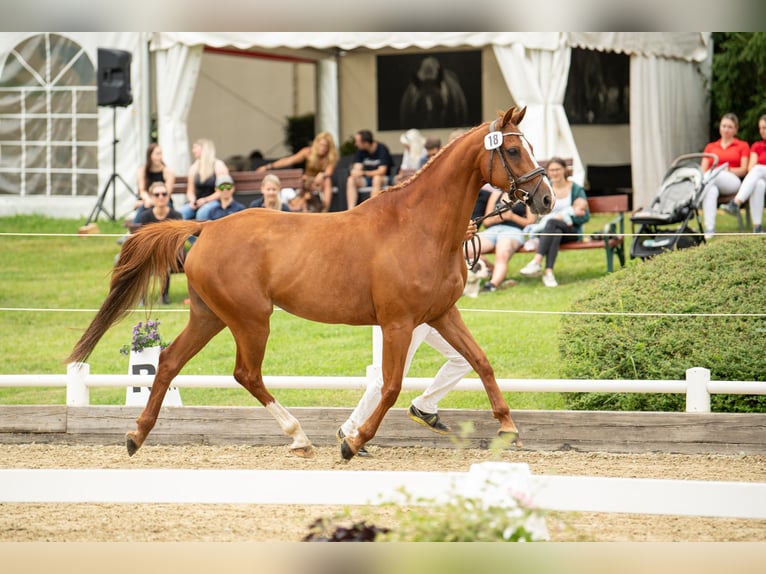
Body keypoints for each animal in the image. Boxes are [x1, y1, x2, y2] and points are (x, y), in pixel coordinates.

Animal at [66, 106, 553, 460]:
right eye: (513, 152)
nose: (546, 198)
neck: (419, 227)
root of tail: (207, 227)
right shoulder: (398, 323)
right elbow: (391, 385)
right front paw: (352, 443)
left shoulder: (441, 314)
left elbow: (480, 361)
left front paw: (508, 428)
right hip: (251, 320)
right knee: (246, 373)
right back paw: (298, 435)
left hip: (210, 317)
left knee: (167, 362)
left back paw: (137, 436)